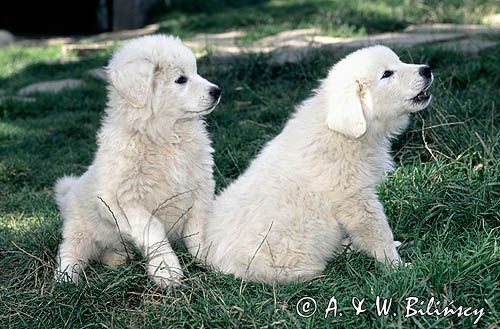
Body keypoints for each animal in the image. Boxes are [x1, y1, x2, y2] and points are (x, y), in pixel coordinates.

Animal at [52, 34, 221, 288]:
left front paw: (208, 258)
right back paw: (65, 278)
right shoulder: (124, 201)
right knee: (71, 252)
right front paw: (166, 271)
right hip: (79, 229)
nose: (217, 91)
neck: (166, 135)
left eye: (196, 72)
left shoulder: (200, 188)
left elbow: (197, 230)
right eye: (181, 79)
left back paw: (117, 259)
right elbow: (154, 230)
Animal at [201, 44, 432, 284]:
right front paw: (398, 267)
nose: (427, 69)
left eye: (399, 61)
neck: (345, 132)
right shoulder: (356, 199)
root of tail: (213, 262)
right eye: (387, 74)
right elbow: (378, 232)